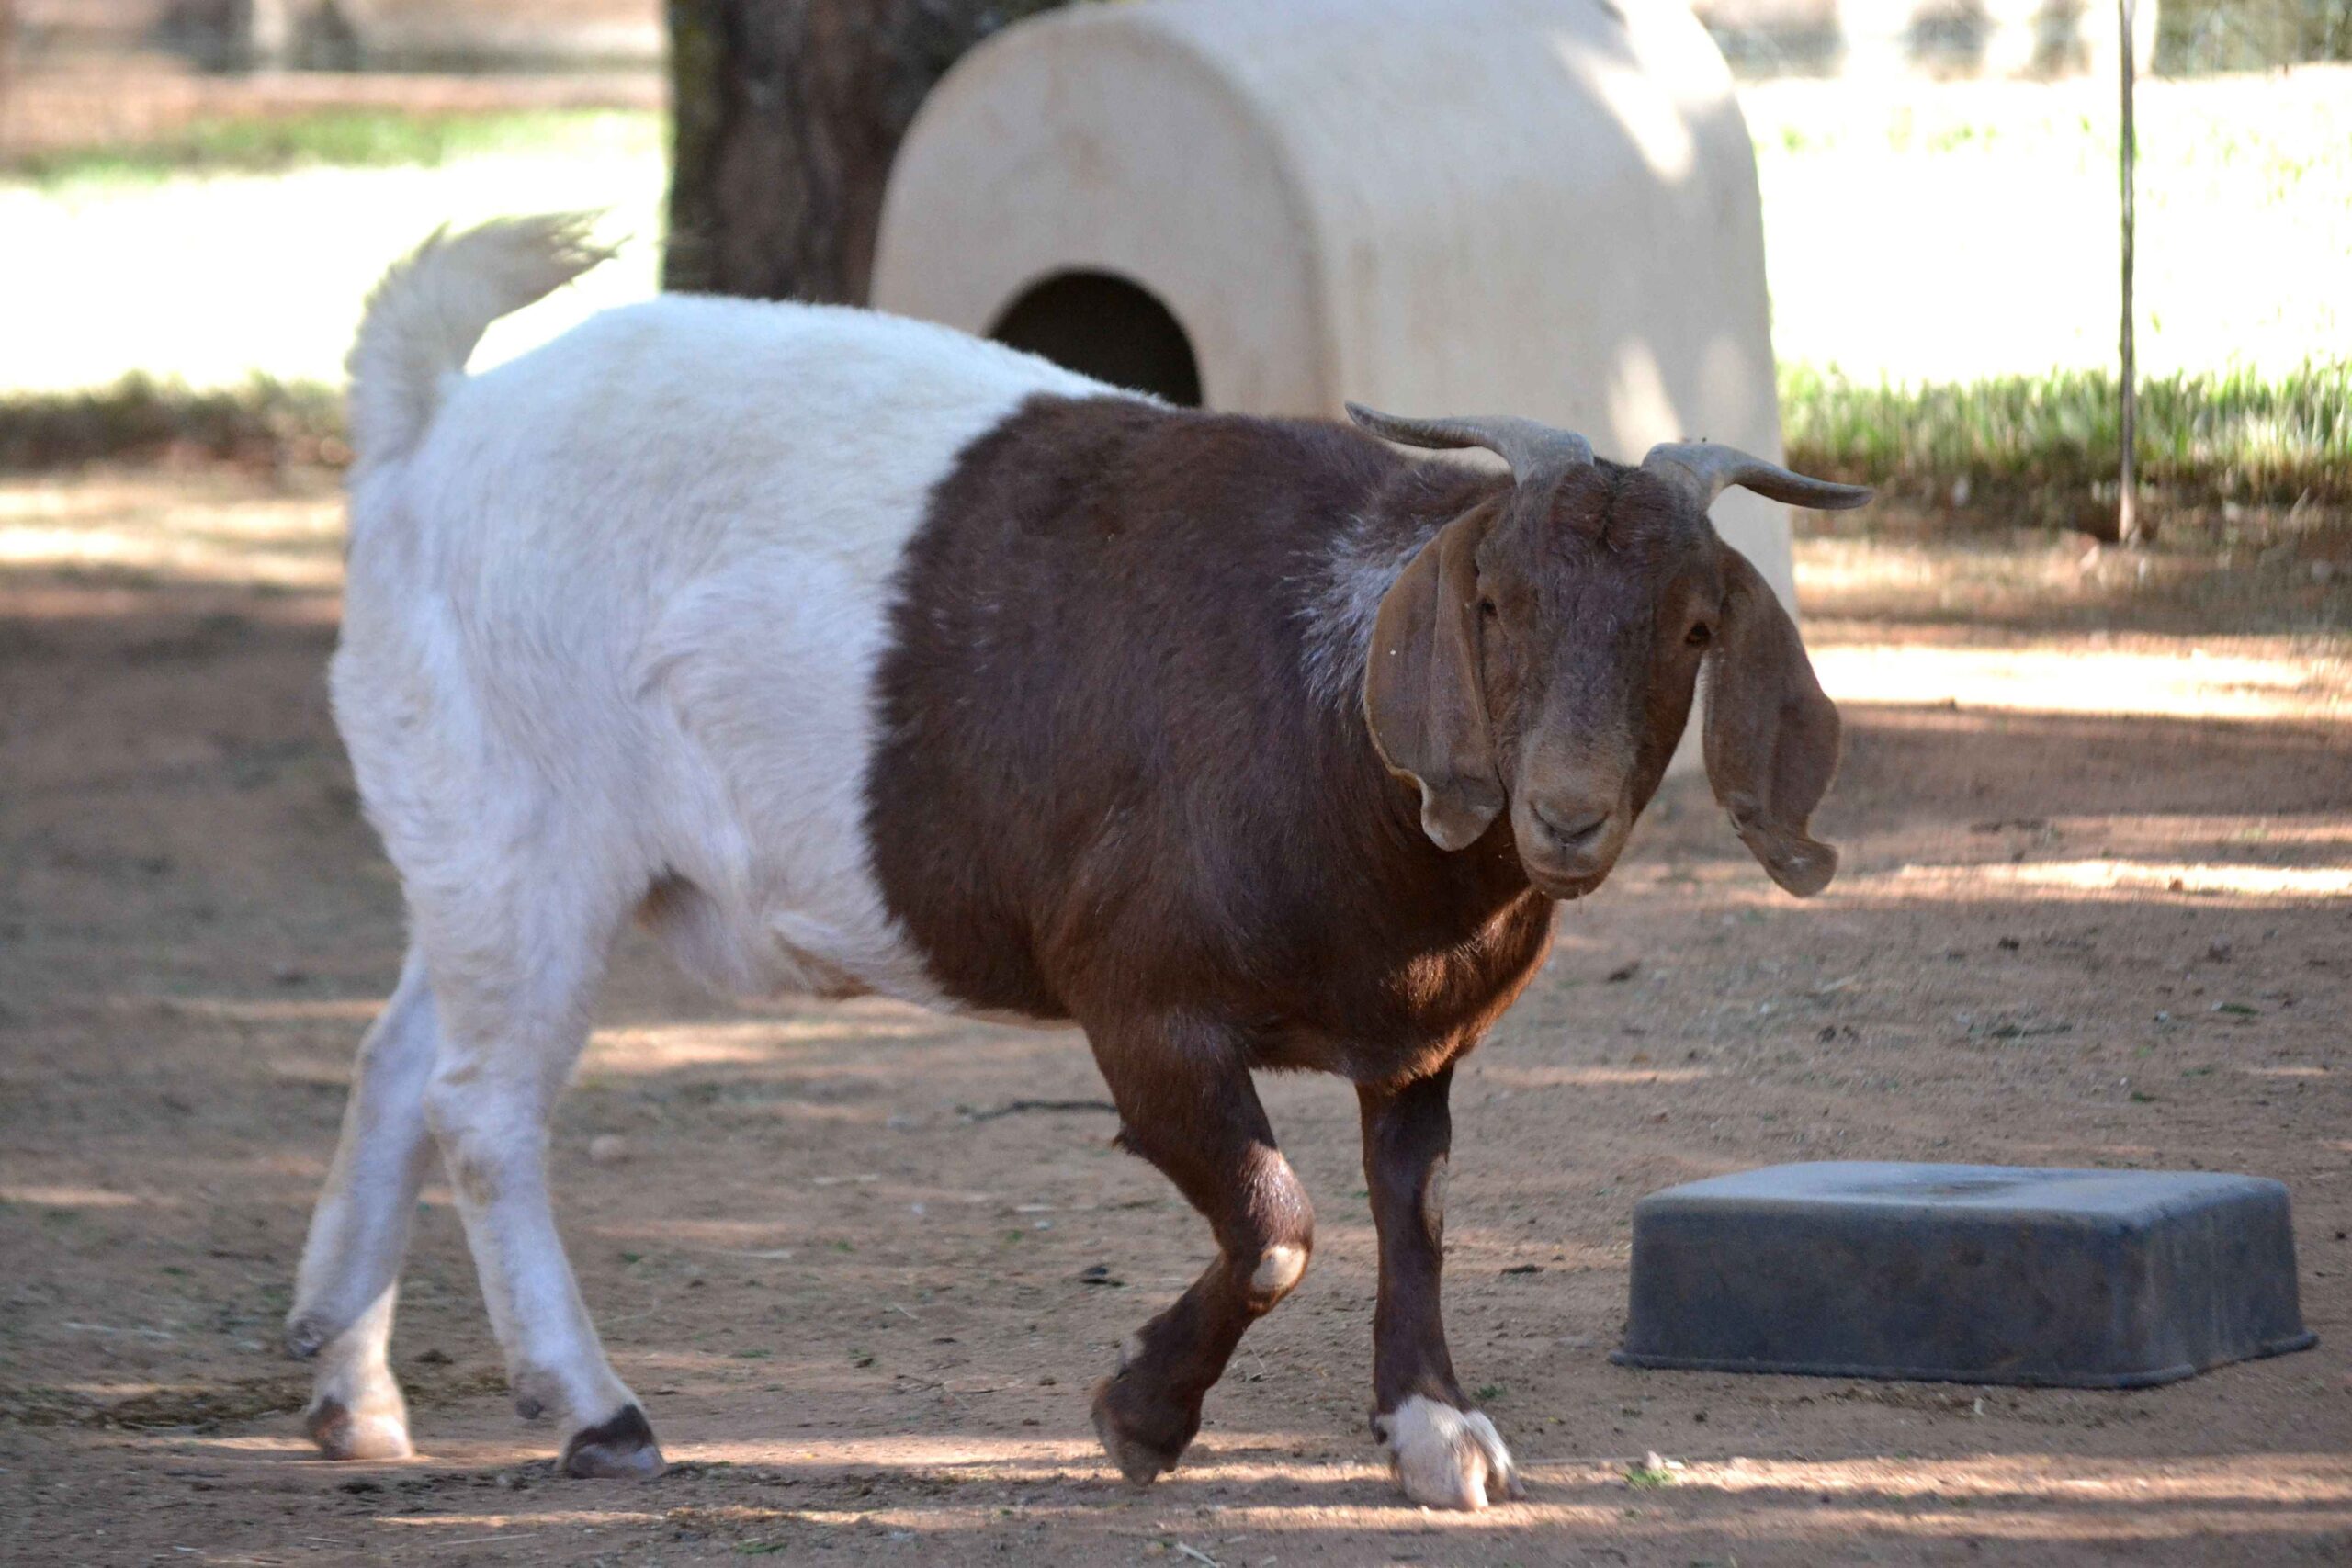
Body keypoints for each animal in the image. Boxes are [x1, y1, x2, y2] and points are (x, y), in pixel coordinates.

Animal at [287, 215, 1868, 1509]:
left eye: (1693, 626)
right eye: (1493, 599)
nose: (1567, 812)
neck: (1334, 718)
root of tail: (429, 427)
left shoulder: (1419, 1041)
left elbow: (1411, 1209)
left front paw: (1434, 1425)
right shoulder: (1142, 1004)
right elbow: (1278, 1223)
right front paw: (1141, 1415)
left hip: (466, 836)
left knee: (397, 1057)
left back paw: (347, 1387)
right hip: (529, 832)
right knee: (482, 1103)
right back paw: (594, 1409)